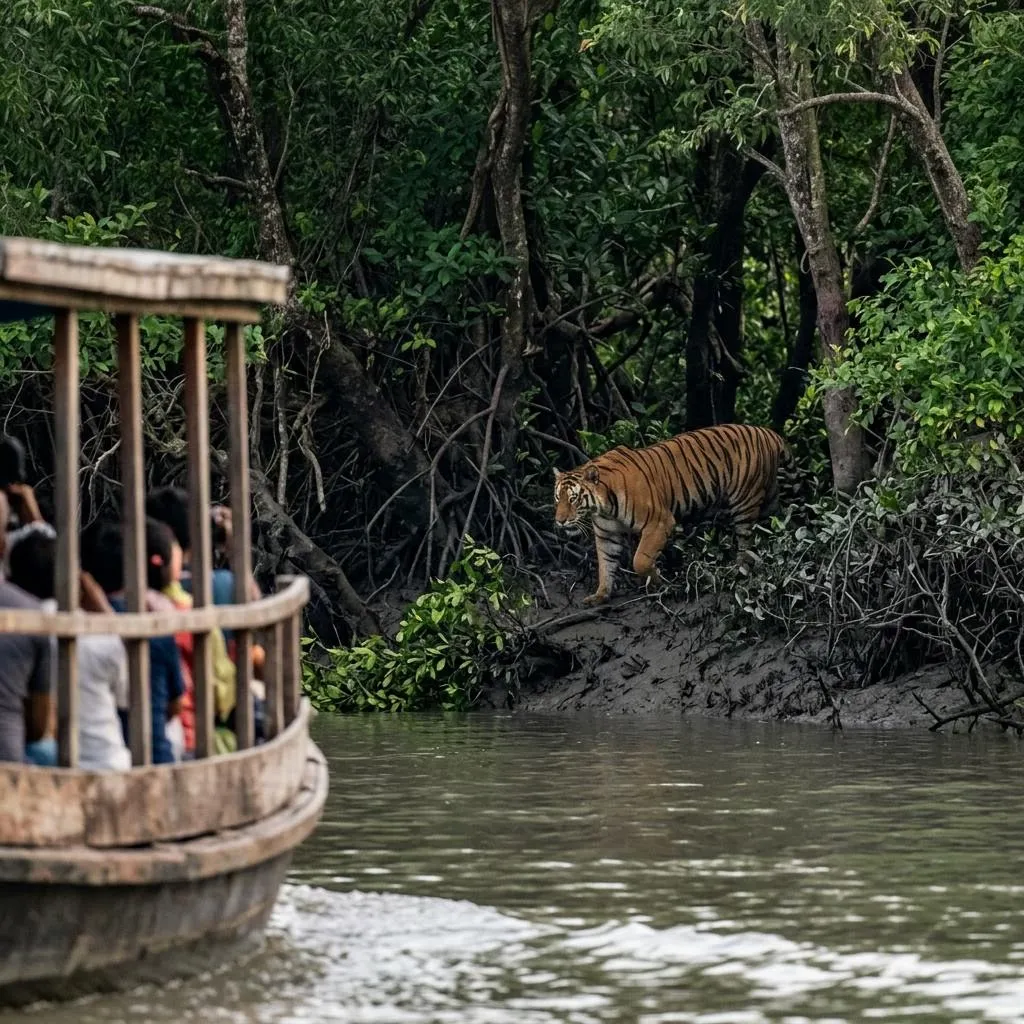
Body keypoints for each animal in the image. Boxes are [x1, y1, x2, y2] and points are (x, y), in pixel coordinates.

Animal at [553, 423, 786, 605]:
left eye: (573, 499)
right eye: (557, 498)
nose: (559, 521)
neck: (604, 507)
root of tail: (768, 432)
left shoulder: (658, 522)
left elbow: (640, 560)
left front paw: (657, 583)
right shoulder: (606, 535)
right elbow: (605, 565)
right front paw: (601, 595)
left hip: (744, 500)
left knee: (746, 540)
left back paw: (738, 569)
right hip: (769, 496)